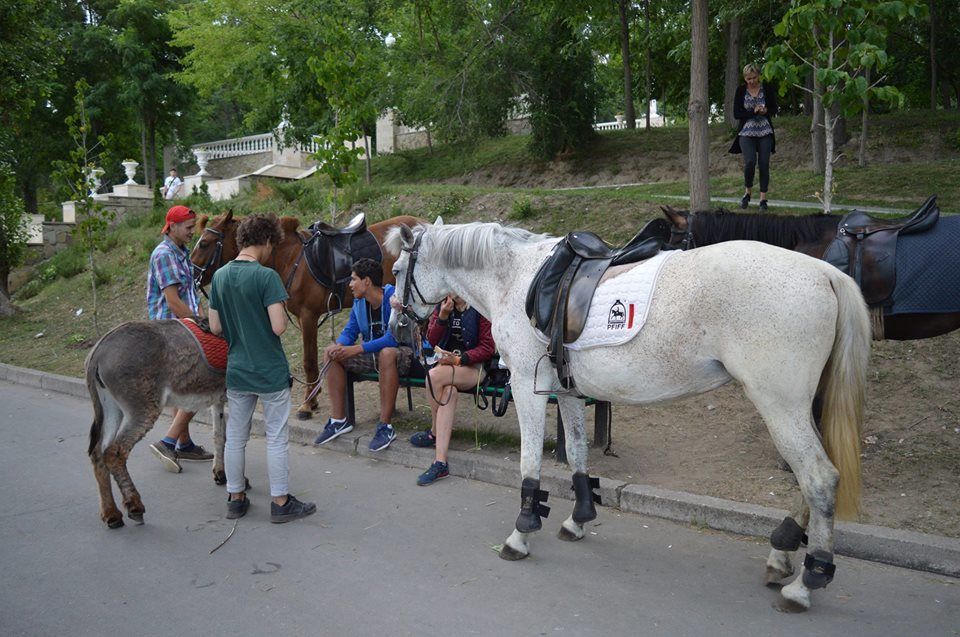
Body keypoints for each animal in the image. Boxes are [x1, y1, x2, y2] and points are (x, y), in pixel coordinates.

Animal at [86, 320, 226, 529]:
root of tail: (100, 349)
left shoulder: (219, 397)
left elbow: (220, 436)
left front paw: (221, 474)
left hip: (111, 407)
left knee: (98, 453)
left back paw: (112, 515)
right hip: (142, 408)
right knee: (114, 452)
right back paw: (135, 507)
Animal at [191, 211, 423, 419]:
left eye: (204, 243)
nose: (192, 273)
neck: (291, 259)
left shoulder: (308, 316)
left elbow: (309, 360)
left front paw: (307, 404)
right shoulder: (303, 320)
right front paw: (313, 397)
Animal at [386, 219, 871, 613]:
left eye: (395, 272)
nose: (396, 329)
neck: (515, 278)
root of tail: (826, 273)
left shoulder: (525, 385)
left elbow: (530, 462)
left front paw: (522, 532)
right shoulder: (564, 389)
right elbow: (577, 450)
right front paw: (579, 518)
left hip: (779, 404)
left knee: (819, 478)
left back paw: (806, 582)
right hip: (800, 408)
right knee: (814, 479)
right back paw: (782, 554)